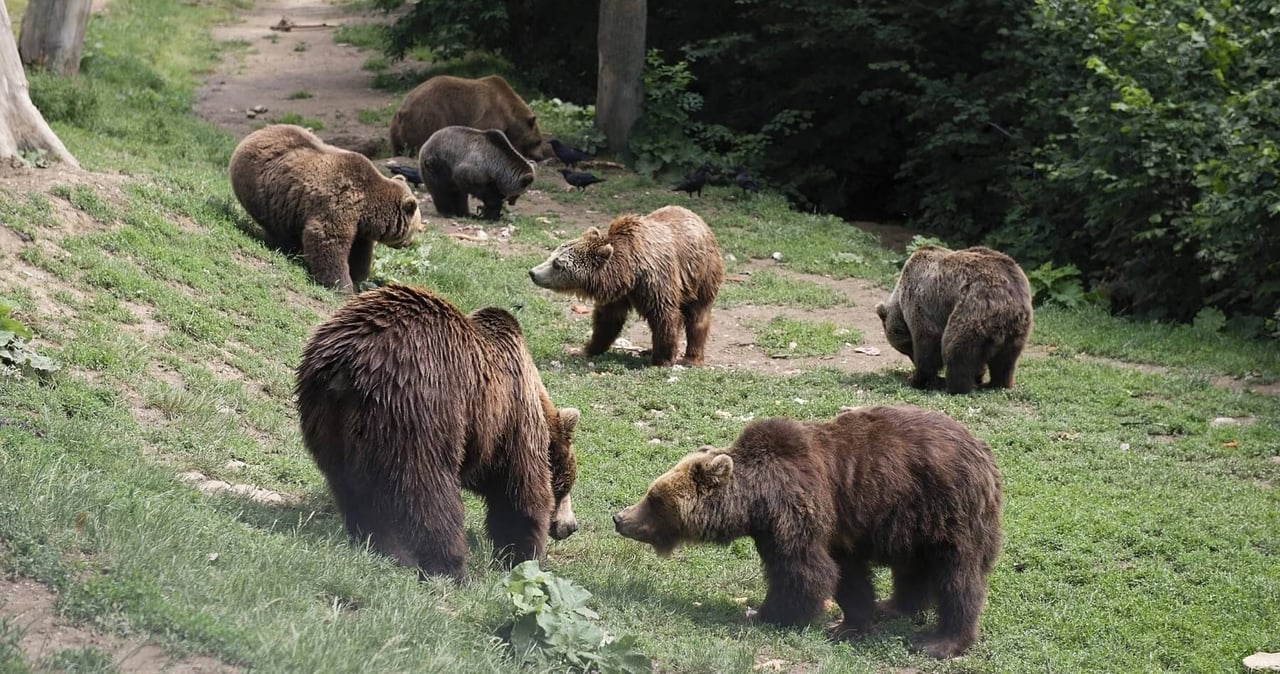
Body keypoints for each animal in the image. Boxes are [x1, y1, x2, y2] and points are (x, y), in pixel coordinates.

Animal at [227, 124, 422, 292]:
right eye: (416, 228)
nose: (410, 243)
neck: (368, 208)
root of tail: (253, 135)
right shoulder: (340, 205)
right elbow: (328, 239)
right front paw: (342, 286)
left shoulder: (359, 226)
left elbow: (360, 252)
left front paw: (359, 277)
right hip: (264, 194)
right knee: (277, 227)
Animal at [294, 282, 581, 583]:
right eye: (566, 485)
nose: (571, 526)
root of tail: (347, 368)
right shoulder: (512, 420)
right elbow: (520, 493)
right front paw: (522, 557)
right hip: (420, 406)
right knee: (428, 493)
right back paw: (449, 567)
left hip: (328, 422)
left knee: (354, 489)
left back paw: (382, 546)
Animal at [389, 75, 550, 161]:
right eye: (538, 141)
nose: (541, 156)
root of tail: (403, 110)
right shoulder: (491, 114)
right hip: (429, 117)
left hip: (396, 129)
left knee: (398, 148)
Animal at [614, 406, 1003, 659]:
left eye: (654, 498)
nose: (620, 517)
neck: (755, 502)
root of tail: (984, 453)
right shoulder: (839, 529)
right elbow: (847, 575)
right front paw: (849, 623)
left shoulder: (796, 510)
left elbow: (802, 571)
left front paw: (764, 613)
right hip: (911, 522)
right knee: (912, 568)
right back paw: (892, 606)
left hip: (947, 510)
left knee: (957, 577)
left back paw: (940, 641)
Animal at [875, 246, 1034, 396]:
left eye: (907, 348)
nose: (912, 358)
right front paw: (978, 376)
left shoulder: (923, 300)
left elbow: (927, 340)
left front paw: (917, 379)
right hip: (1017, 329)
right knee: (1005, 361)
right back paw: (995, 383)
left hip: (971, 310)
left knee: (956, 349)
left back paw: (953, 386)